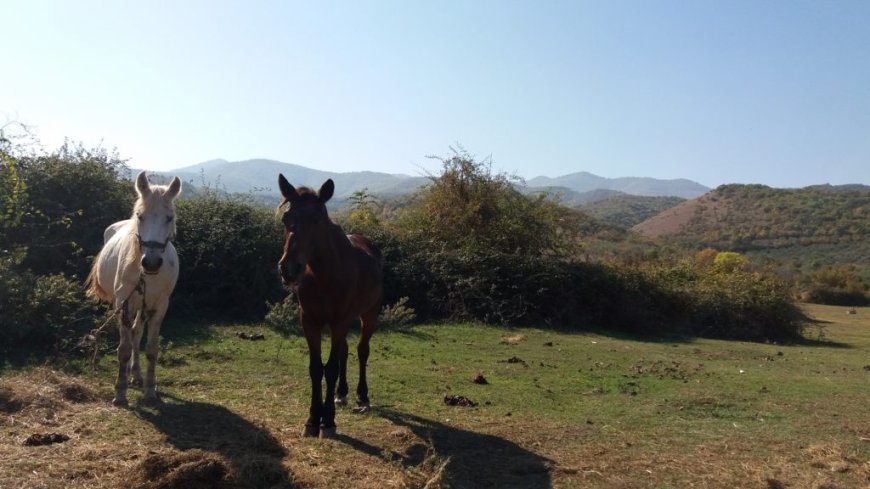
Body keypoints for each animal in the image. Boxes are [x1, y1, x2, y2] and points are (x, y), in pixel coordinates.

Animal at [85, 170, 182, 406]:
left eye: (169, 217)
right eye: (140, 216)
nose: (152, 263)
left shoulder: (159, 305)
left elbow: (151, 349)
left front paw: (149, 390)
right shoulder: (124, 303)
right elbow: (124, 349)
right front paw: (120, 392)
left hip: (143, 306)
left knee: (137, 333)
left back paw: (136, 374)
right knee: (130, 336)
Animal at [278, 173, 384, 436]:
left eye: (317, 218)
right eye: (286, 218)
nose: (289, 268)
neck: (325, 275)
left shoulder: (339, 321)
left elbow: (331, 368)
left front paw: (328, 422)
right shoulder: (310, 322)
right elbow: (317, 369)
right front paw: (312, 420)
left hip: (368, 315)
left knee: (362, 351)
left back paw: (362, 397)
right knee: (345, 352)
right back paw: (341, 394)